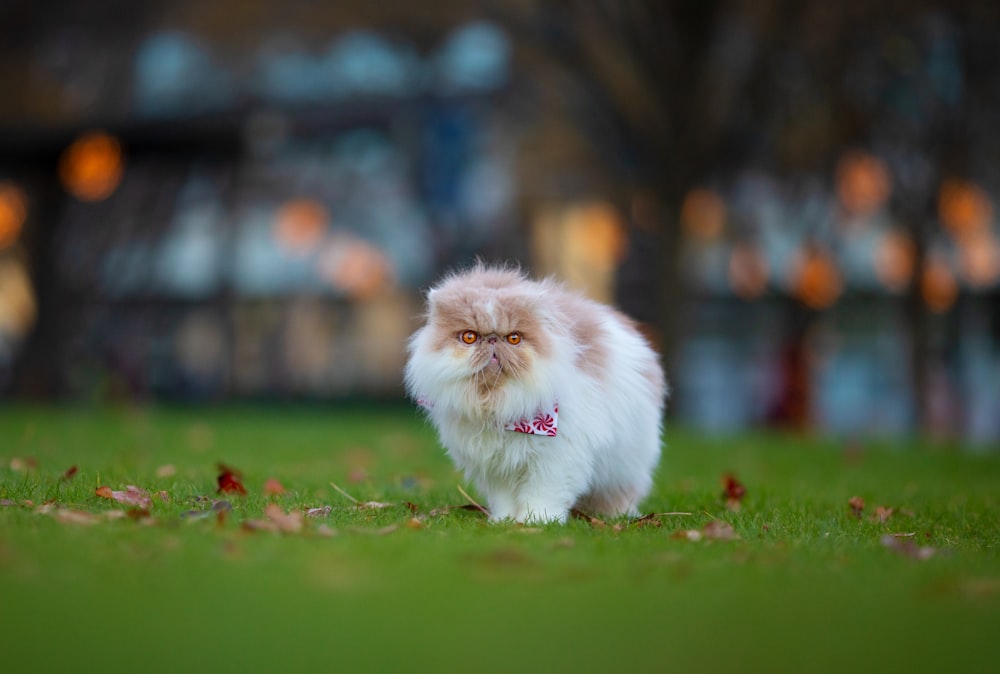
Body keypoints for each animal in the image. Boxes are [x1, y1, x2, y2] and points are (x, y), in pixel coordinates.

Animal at [402, 262, 668, 520]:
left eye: (513, 338)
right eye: (469, 337)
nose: (492, 340)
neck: (500, 406)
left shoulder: (556, 459)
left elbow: (543, 495)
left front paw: (537, 521)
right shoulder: (498, 465)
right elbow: (505, 500)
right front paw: (505, 521)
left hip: (624, 463)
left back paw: (618, 515)